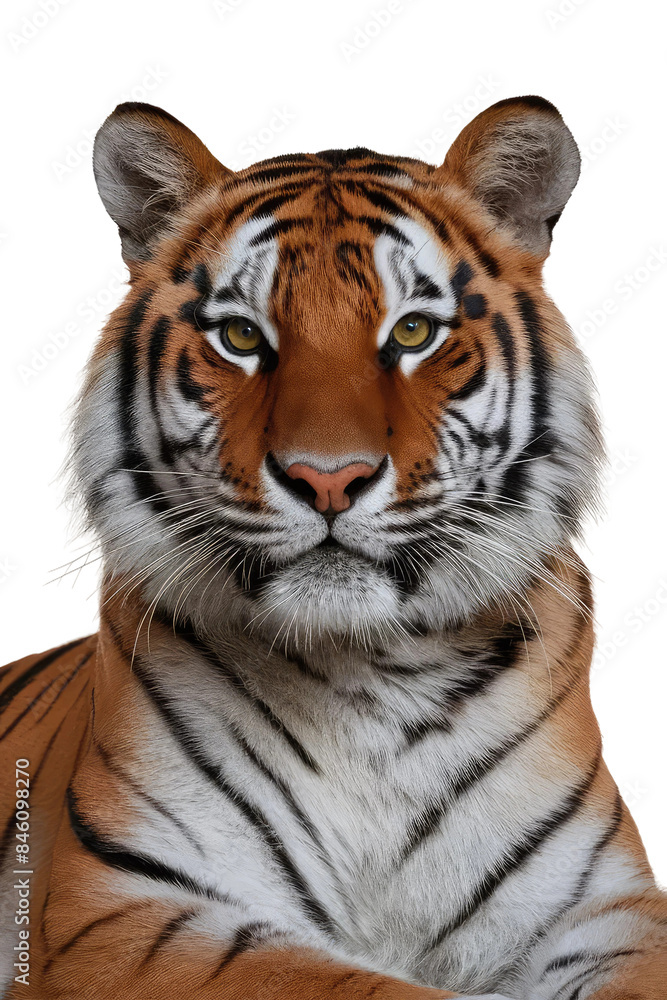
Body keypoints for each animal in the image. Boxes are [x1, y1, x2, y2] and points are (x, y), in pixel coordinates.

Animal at [0, 94, 665, 1000]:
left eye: (413, 331)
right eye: (241, 338)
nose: (327, 478)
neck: (369, 675)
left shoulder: (608, 905)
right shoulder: (117, 905)